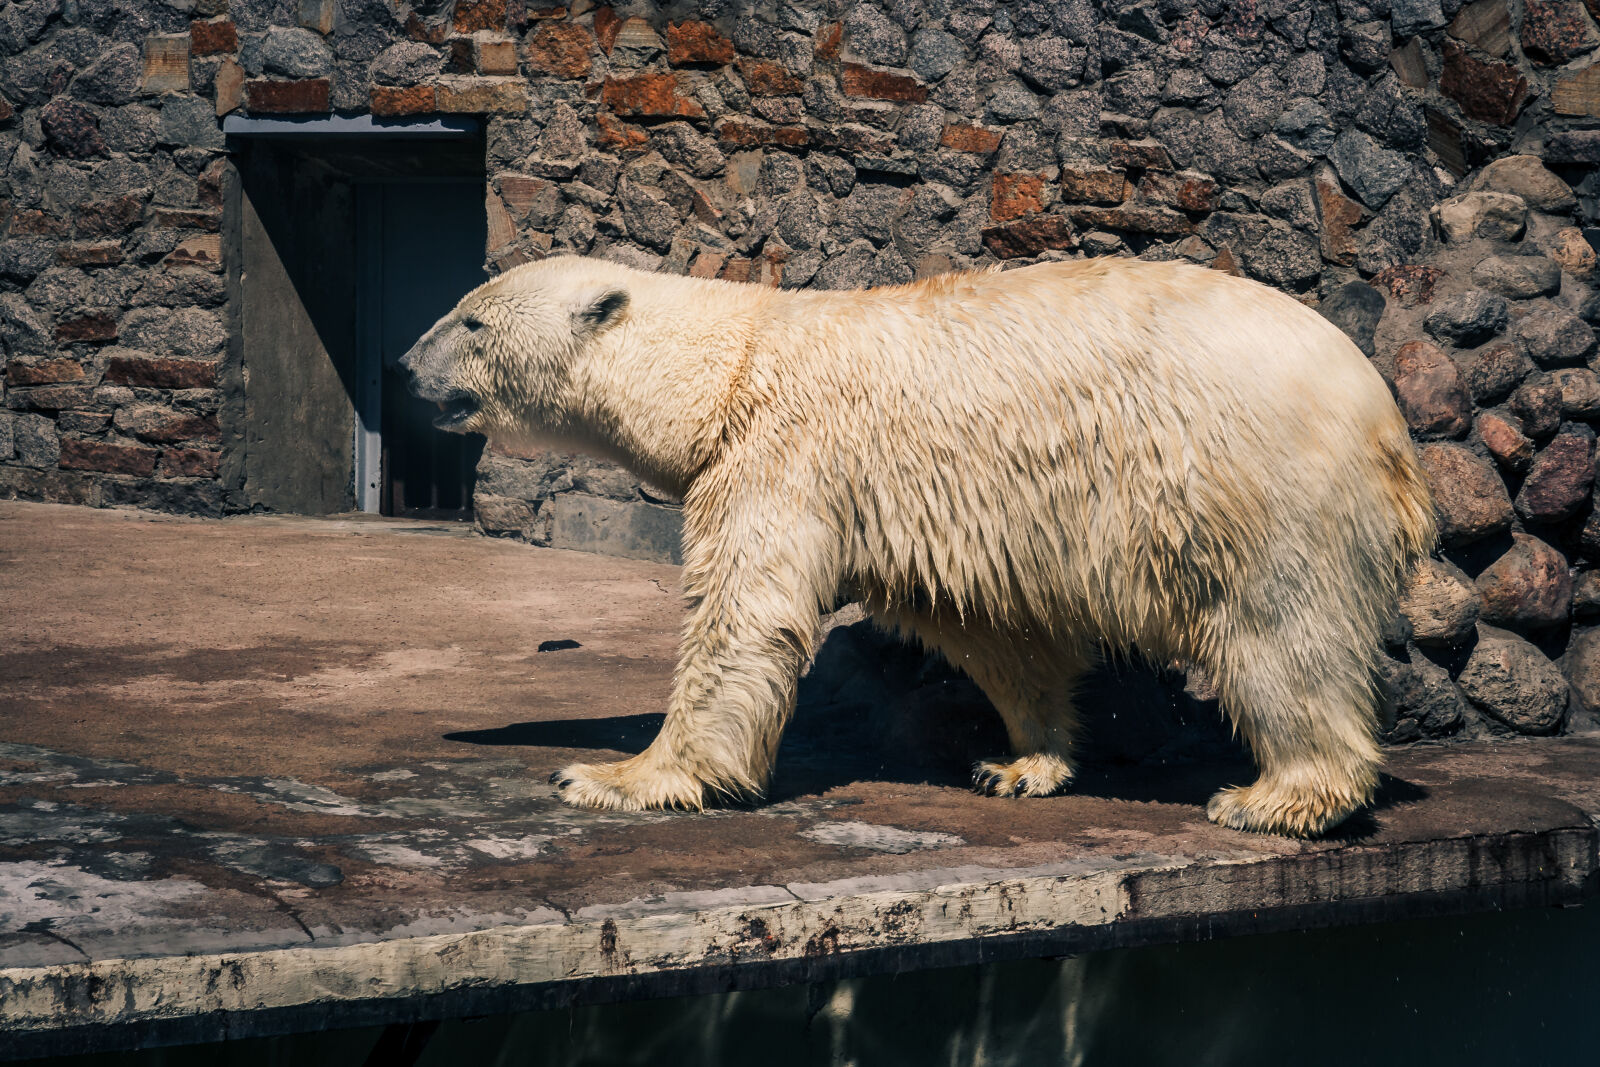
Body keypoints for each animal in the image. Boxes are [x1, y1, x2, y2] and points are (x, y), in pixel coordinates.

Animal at [403, 254, 1440, 838]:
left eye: (471, 316)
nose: (404, 367)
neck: (729, 366)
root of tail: (1387, 420)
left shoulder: (783, 456)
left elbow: (742, 617)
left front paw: (614, 775)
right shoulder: (919, 501)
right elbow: (991, 630)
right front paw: (1021, 760)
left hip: (1257, 486)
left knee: (1280, 635)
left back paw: (1277, 798)